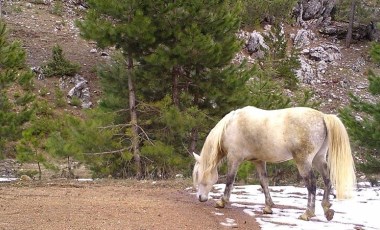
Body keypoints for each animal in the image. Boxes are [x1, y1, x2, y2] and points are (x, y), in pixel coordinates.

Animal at [193, 106, 356, 221]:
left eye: (198, 174)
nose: (200, 198)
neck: (231, 125)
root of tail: (323, 117)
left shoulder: (234, 158)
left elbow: (229, 180)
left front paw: (221, 202)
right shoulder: (259, 161)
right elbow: (264, 182)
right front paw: (268, 207)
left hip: (303, 162)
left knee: (312, 184)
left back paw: (308, 213)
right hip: (319, 159)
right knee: (327, 180)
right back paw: (327, 209)